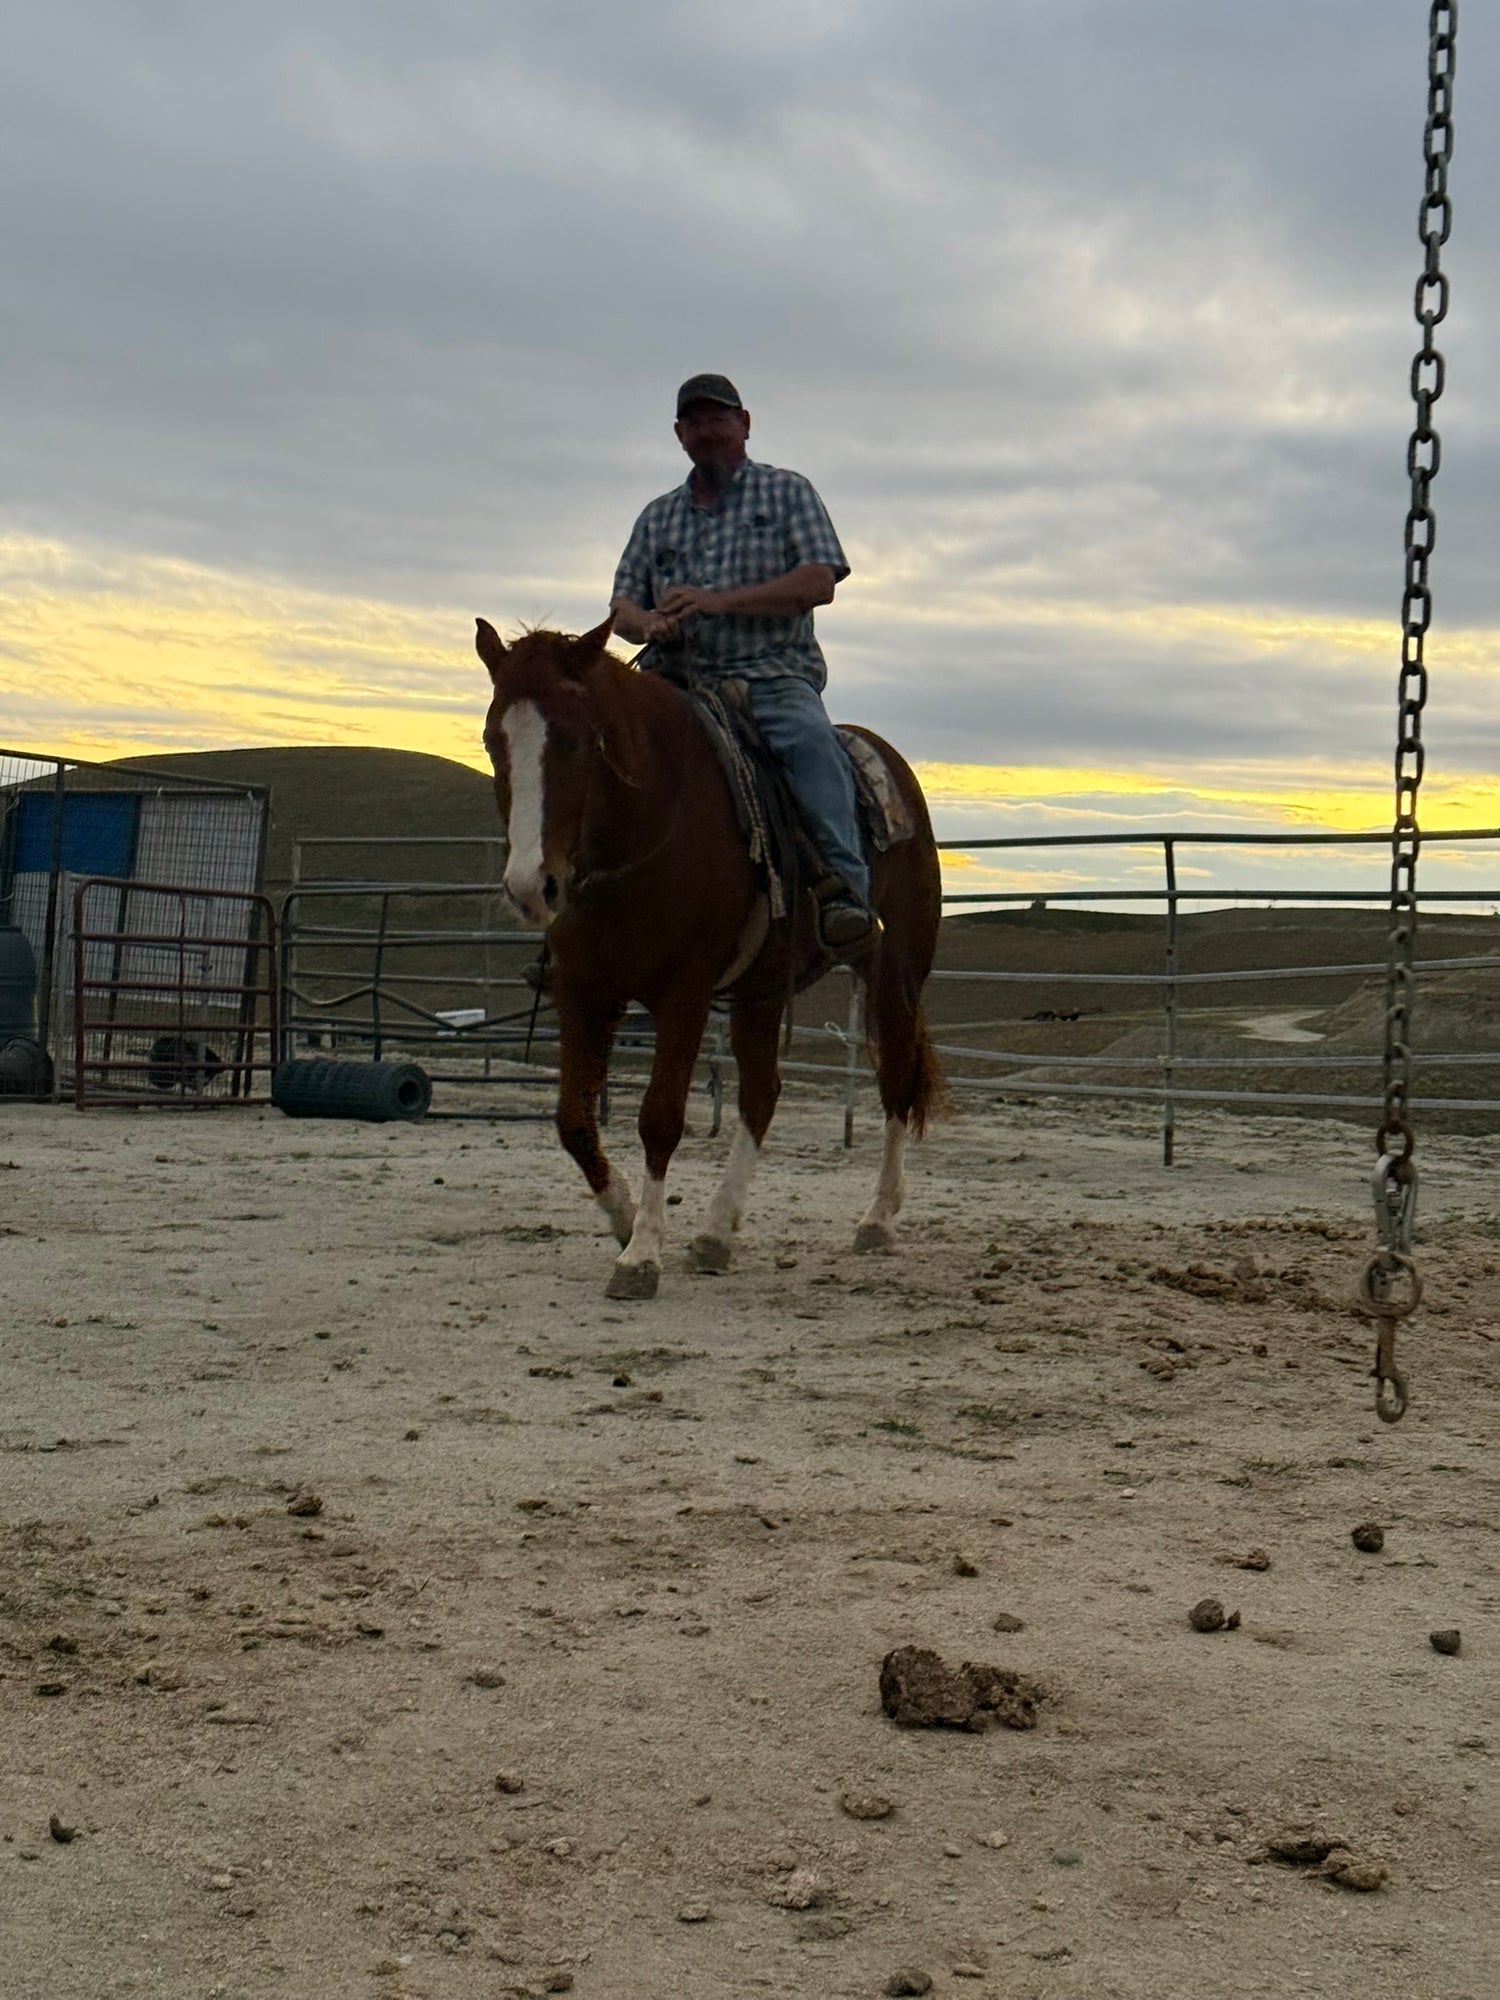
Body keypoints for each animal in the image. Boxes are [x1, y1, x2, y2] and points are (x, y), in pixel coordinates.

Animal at [476, 608, 944, 1296]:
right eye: (492, 741)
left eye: (572, 740)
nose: (533, 887)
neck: (637, 838)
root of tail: (889, 765)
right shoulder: (583, 992)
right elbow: (574, 1121)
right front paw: (623, 1219)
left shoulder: (685, 994)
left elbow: (660, 1117)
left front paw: (641, 1255)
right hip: (761, 990)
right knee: (761, 1093)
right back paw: (717, 1231)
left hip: (895, 971)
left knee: (896, 1081)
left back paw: (878, 1219)